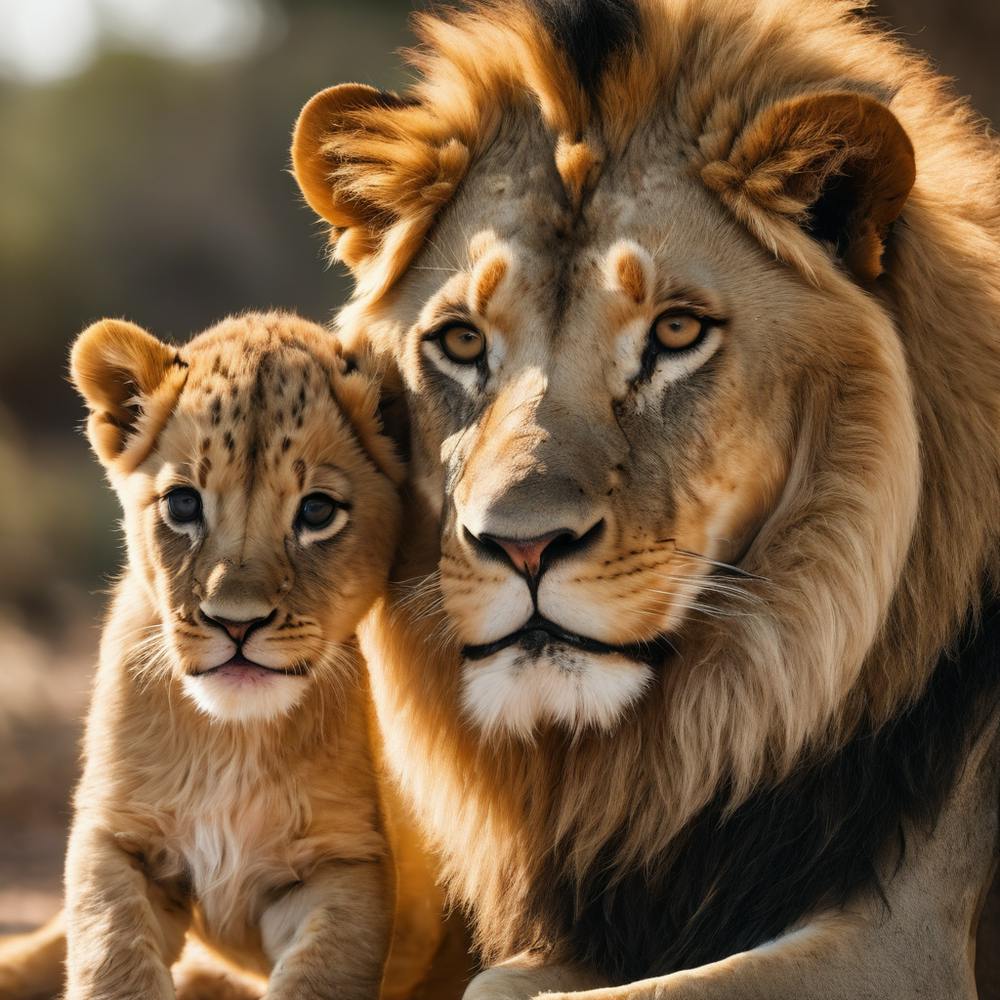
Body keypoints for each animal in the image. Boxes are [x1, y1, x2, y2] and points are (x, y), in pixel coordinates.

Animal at [0, 312, 461, 1000]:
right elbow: (112, 956)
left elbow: (320, 976)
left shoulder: (346, 861)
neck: (232, 743)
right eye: (183, 504)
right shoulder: (115, 835)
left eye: (317, 511)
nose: (235, 623)